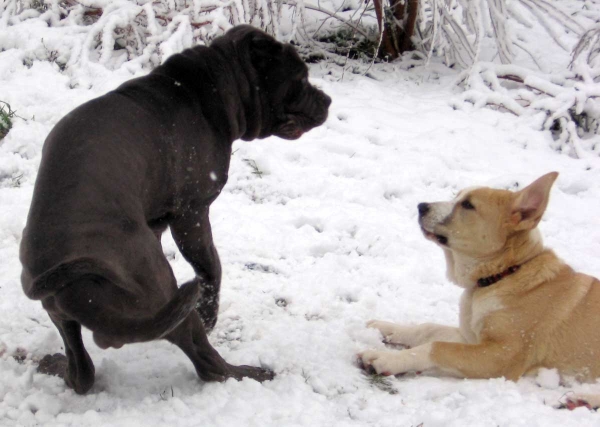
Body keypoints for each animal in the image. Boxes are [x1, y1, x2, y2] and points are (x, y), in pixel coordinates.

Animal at [18, 25, 330, 396]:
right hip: (166, 297)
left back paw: (55, 366)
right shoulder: (192, 213)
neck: (210, 86)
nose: (327, 100)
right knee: (208, 363)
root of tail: (77, 284)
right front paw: (211, 315)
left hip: (61, 314)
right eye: (301, 77)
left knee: (82, 371)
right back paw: (248, 373)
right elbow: (211, 267)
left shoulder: (157, 220)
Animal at [358, 174, 600, 394]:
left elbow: (436, 347)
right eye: (456, 196)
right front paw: (385, 327)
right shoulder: (471, 338)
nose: (421, 206)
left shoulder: (501, 355)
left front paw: (385, 358)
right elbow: (427, 329)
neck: (504, 274)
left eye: (468, 205)